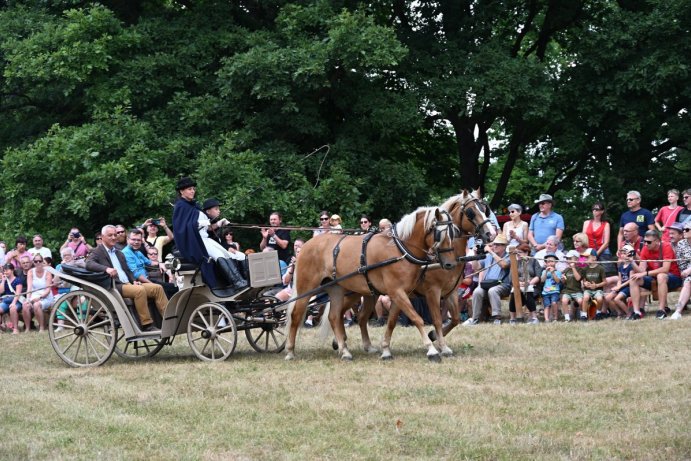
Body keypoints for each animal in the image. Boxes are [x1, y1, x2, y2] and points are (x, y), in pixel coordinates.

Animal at [286, 207, 460, 362]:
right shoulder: (398, 291)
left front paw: (386, 350)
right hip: (307, 287)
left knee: (335, 317)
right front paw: (432, 350)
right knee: (296, 315)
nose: (451, 264)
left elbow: (392, 321)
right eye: (439, 233)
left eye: (453, 233)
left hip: (337, 289)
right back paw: (290, 351)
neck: (400, 250)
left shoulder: (400, 293)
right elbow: (417, 318)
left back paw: (345, 351)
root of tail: (306, 246)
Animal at [322, 188, 494, 360]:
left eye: (485, 209)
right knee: (339, 314)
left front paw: (434, 338)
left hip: (369, 293)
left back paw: (354, 344)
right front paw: (439, 344)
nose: (491, 233)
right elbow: (437, 320)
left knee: (360, 316)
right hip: (353, 292)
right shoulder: (432, 291)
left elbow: (455, 319)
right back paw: (340, 343)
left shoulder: (450, 292)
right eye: (471, 212)